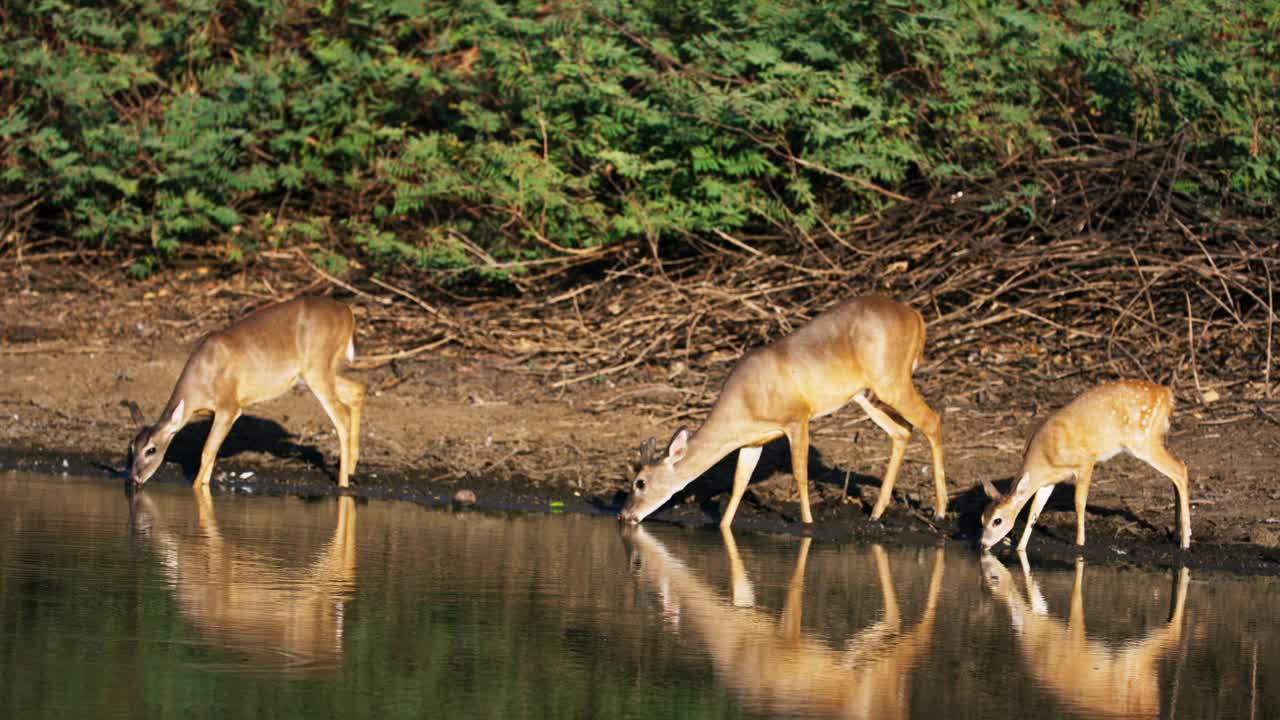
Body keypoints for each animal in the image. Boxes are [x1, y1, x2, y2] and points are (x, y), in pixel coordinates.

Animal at [124, 294, 363, 484]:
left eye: (151, 449)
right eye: (132, 447)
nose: (134, 478)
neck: (199, 383)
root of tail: (348, 314)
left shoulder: (229, 405)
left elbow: (206, 452)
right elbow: (211, 455)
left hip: (318, 368)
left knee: (342, 417)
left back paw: (343, 482)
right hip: (315, 373)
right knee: (357, 390)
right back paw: (351, 469)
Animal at [614, 294, 947, 525]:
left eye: (639, 482)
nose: (623, 515)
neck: (744, 403)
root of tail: (916, 315)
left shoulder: (797, 417)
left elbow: (800, 473)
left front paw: (808, 524)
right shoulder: (752, 441)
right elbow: (739, 484)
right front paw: (723, 527)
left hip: (891, 377)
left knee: (931, 420)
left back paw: (941, 510)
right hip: (866, 393)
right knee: (902, 431)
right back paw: (877, 512)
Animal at [977, 381, 1187, 548]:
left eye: (997, 521)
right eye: (982, 518)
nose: (982, 545)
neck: (1045, 456)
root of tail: (1168, 395)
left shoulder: (1086, 461)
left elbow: (1079, 502)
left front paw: (1079, 543)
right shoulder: (1049, 480)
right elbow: (1034, 512)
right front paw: (1020, 548)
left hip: (1143, 440)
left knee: (1181, 468)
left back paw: (1185, 542)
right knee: (1176, 472)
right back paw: (1177, 535)